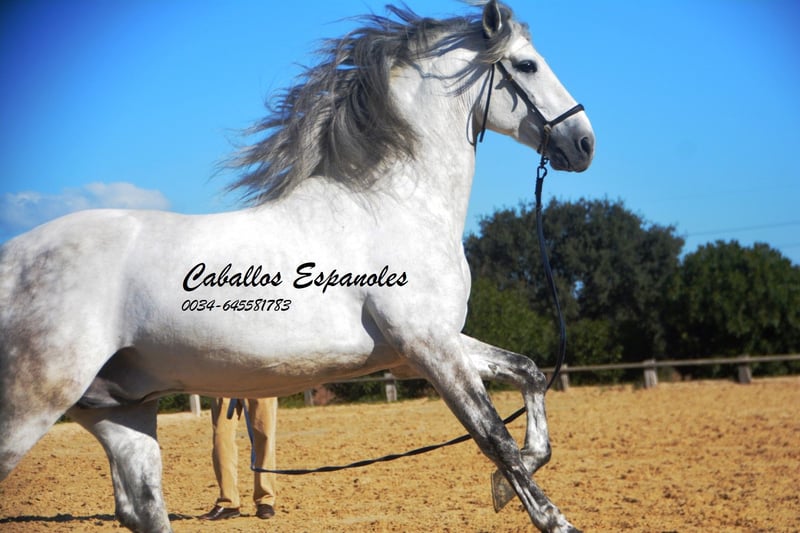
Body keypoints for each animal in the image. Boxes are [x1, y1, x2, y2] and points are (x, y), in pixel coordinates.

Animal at [0, 2, 594, 531]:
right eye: (526, 65)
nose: (584, 143)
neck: (395, 204)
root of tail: (13, 260)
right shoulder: (430, 347)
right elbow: (494, 437)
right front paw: (551, 517)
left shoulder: (420, 351)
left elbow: (529, 373)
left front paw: (504, 488)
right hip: (33, 402)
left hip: (119, 410)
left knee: (141, 508)